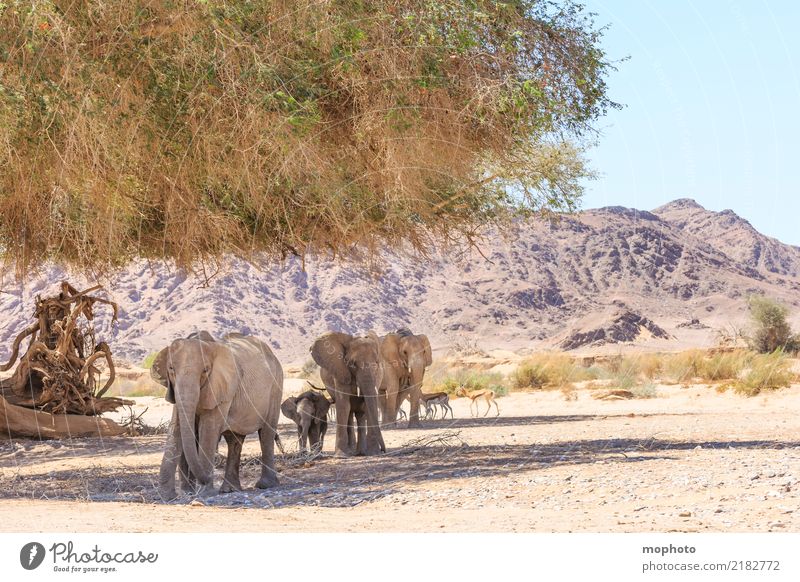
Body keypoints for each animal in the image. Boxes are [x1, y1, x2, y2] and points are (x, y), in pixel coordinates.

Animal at [152, 336, 282, 500]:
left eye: (205, 370)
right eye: (171, 369)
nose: (206, 478)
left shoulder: (222, 389)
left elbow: (209, 430)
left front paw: (204, 493)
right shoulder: (175, 391)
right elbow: (175, 428)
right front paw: (166, 497)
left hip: (276, 388)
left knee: (266, 433)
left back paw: (265, 485)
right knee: (235, 440)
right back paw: (230, 489)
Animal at [310, 330, 384, 458]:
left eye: (376, 363)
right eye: (353, 364)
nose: (383, 450)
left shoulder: (377, 376)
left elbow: (369, 405)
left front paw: (373, 453)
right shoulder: (340, 372)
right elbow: (344, 405)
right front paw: (341, 456)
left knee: (360, 414)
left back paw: (360, 452)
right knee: (349, 413)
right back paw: (352, 451)